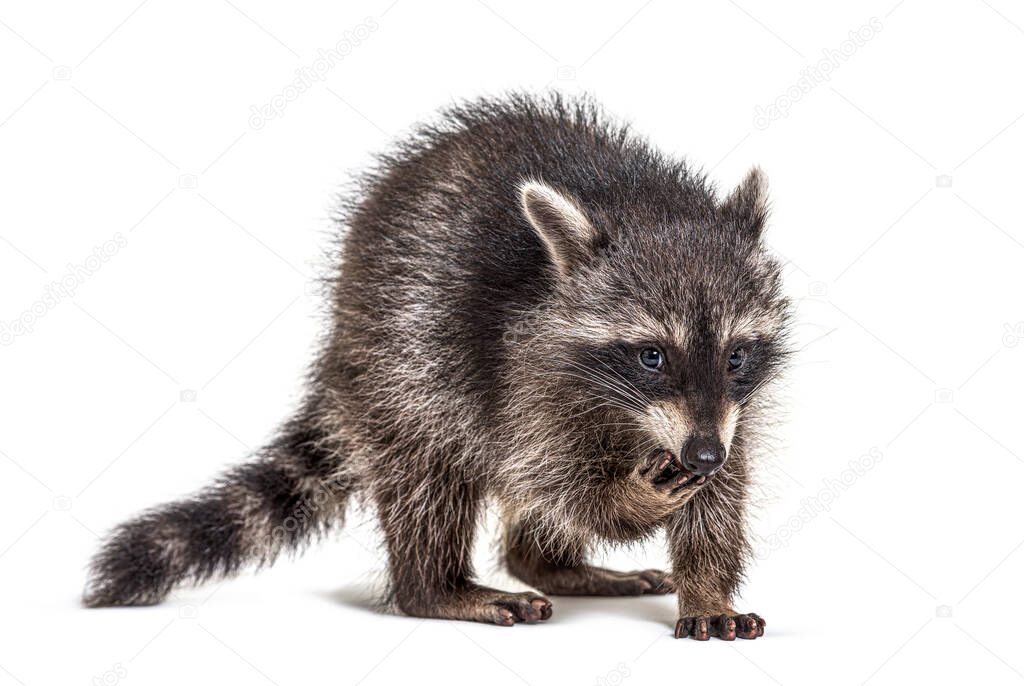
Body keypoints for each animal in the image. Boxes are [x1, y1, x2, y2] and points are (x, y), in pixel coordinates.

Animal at [88, 94, 790, 642]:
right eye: (651, 355)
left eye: (736, 355)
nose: (701, 456)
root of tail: (339, 334)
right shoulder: (520, 368)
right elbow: (554, 479)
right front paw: (629, 498)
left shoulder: (731, 411)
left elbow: (722, 495)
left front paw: (707, 587)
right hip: (401, 362)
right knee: (428, 473)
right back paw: (435, 587)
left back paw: (549, 564)